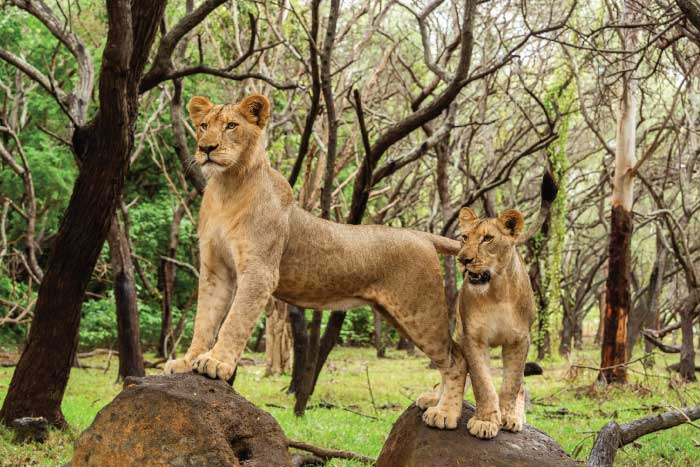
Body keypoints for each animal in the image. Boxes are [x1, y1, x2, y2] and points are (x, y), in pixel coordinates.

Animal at [163, 93, 467, 429]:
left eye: (231, 125)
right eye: (203, 126)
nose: (206, 148)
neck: (226, 187)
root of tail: (421, 235)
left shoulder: (260, 270)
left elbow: (234, 321)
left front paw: (216, 362)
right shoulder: (215, 270)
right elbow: (204, 320)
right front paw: (187, 361)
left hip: (420, 310)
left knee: (457, 359)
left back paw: (445, 413)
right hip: (397, 314)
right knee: (448, 356)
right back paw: (434, 401)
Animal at [455, 207, 536, 439]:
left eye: (488, 238)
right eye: (464, 237)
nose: (463, 259)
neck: (497, 293)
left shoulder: (520, 340)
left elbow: (512, 383)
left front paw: (508, 417)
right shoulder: (472, 338)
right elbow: (482, 382)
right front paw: (485, 421)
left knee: (521, 386)